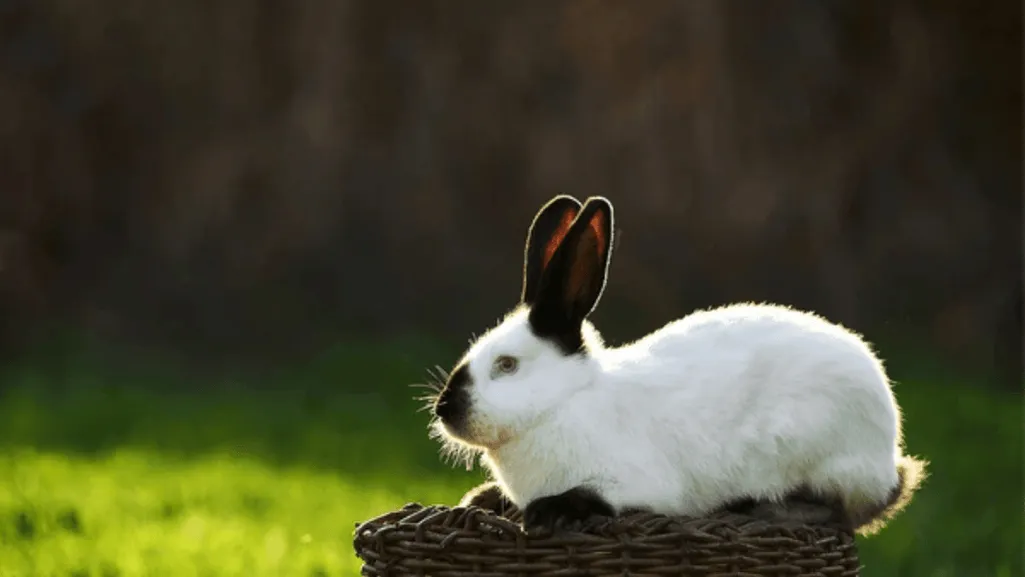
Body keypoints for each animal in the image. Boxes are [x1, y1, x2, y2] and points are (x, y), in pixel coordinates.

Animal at [430, 194, 926, 535]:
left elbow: (590, 498)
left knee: (836, 509)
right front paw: (479, 499)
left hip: (816, 449)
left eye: (506, 365)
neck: (565, 403)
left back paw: (757, 507)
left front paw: (545, 513)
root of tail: (892, 462)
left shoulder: (635, 485)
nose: (444, 409)